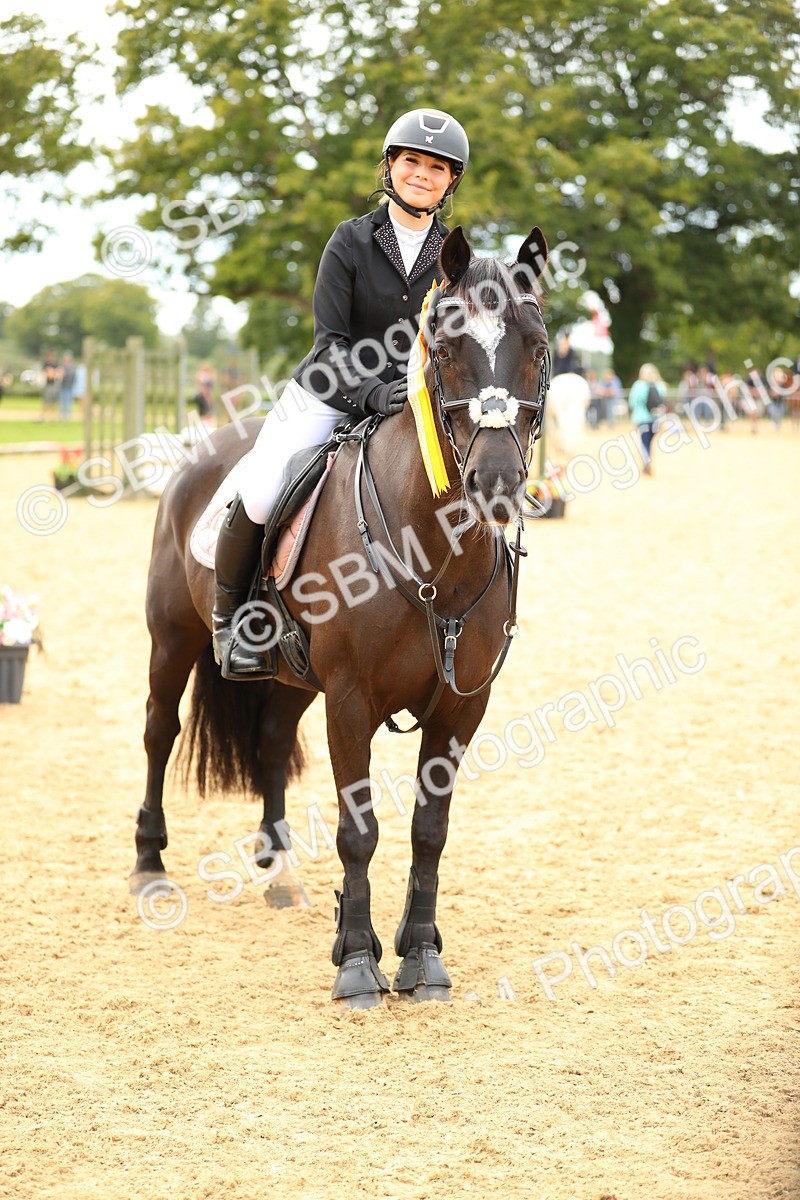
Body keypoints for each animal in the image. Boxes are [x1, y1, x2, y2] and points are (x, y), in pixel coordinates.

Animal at [131, 225, 551, 1008]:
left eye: (538, 347)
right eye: (445, 349)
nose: (497, 482)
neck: (435, 554)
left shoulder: (460, 708)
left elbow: (428, 831)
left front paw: (421, 956)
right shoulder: (351, 700)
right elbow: (360, 831)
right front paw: (358, 964)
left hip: (294, 680)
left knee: (269, 743)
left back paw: (281, 874)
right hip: (173, 639)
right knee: (157, 732)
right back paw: (149, 866)